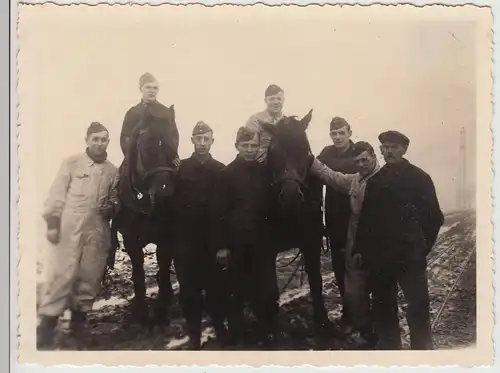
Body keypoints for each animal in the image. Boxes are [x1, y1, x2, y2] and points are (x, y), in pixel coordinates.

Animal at [109, 103, 180, 324]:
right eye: (146, 146)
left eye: (174, 139)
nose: (165, 191)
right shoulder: (130, 239)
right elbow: (138, 272)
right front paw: (141, 311)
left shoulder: (166, 237)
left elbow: (164, 267)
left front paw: (161, 308)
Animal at [258, 109, 336, 338]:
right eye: (273, 150)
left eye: (305, 149)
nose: (291, 196)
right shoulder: (266, 249)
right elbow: (270, 291)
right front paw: (270, 331)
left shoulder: (311, 242)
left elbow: (316, 281)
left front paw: (323, 323)